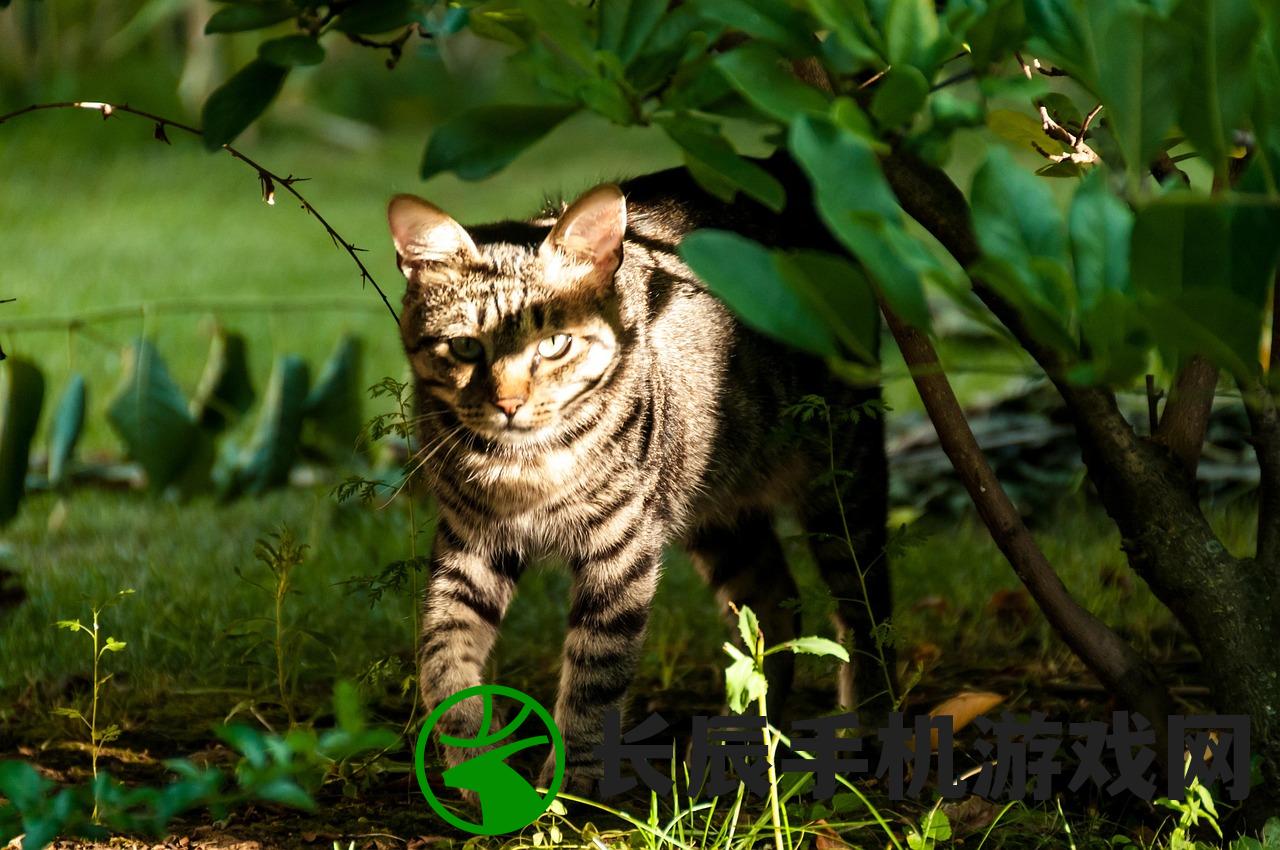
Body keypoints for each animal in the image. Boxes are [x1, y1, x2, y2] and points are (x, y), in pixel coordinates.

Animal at [386, 161, 890, 798]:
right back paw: (736, 747)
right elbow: (442, 651)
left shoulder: (622, 549)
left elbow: (595, 675)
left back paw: (868, 728)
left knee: (866, 607)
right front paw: (475, 756)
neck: (525, 465)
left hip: (842, 482)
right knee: (775, 603)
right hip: (714, 504)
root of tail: (781, 166)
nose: (508, 403)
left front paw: (572, 787)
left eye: (555, 344)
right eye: (464, 347)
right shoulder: (468, 542)